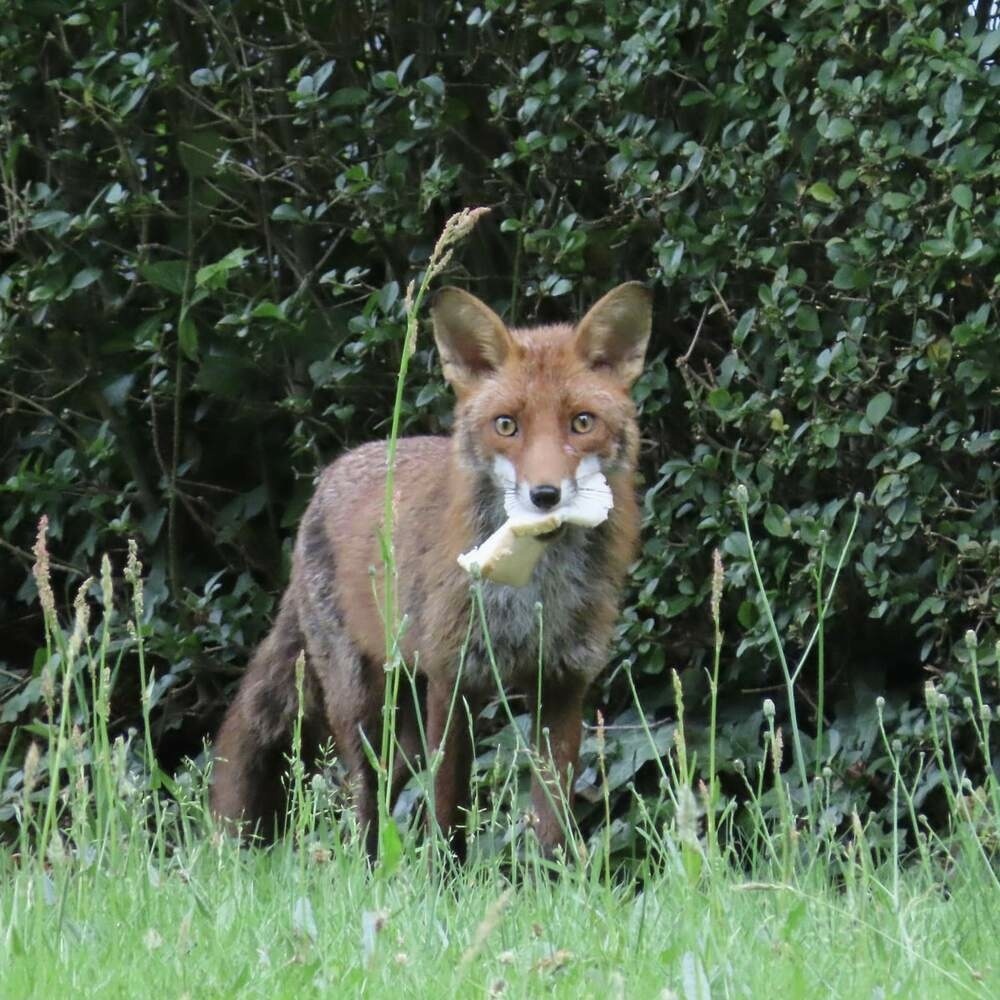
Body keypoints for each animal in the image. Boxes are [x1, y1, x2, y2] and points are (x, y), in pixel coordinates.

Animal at [212, 280, 652, 852]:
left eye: (582, 423)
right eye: (506, 425)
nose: (545, 496)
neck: (533, 590)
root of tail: (328, 476)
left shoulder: (562, 684)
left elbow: (553, 821)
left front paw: (554, 873)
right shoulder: (454, 679)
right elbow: (449, 812)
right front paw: (447, 873)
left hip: (408, 727)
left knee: (389, 782)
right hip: (363, 706)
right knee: (363, 796)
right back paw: (369, 863)